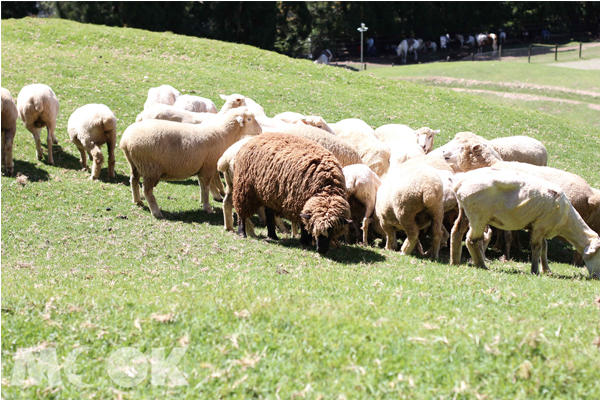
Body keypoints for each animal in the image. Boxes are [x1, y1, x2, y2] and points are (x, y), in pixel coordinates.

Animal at [120, 107, 262, 219]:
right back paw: (156, 212)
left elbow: (202, 186)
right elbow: (206, 187)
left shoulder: (201, 167)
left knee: (133, 180)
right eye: (249, 119)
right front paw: (207, 207)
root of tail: (125, 141)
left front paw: (202, 201)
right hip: (150, 167)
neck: (223, 133)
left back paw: (137, 201)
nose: (260, 131)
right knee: (147, 189)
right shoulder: (208, 166)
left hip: (135, 164)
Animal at [454, 167, 600, 276]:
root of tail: (460, 182)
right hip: (478, 215)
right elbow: (537, 247)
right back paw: (481, 265)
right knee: (472, 240)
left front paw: (547, 270)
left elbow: (544, 247)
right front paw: (535, 271)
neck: (567, 221)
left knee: (456, 232)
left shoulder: (539, 226)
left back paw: (454, 261)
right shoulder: (541, 225)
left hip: (464, 210)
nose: (596, 277)